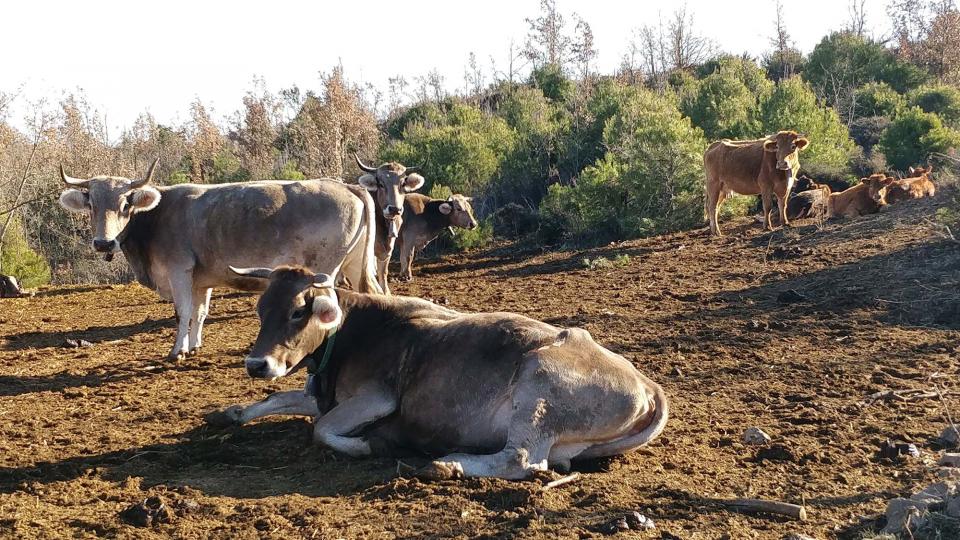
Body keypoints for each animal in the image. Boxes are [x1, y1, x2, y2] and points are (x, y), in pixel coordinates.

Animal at [58, 161, 382, 362]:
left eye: (126, 203)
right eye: (91, 204)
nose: (103, 243)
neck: (156, 217)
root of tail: (346, 186)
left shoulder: (178, 269)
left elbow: (182, 312)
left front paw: (177, 351)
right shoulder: (200, 280)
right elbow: (199, 312)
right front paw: (194, 346)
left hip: (324, 271)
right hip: (354, 265)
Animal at [209, 266, 668, 480]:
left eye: (297, 312)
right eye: (261, 309)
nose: (257, 364)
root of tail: (647, 383)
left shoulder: (377, 397)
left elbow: (320, 429)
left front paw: (369, 445)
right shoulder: (319, 394)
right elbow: (277, 399)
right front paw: (227, 413)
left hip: (539, 383)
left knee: (521, 459)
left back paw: (446, 465)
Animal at [352, 154, 424, 294]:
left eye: (403, 183)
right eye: (380, 184)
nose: (394, 209)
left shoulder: (388, 249)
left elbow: (383, 271)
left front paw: (386, 292)